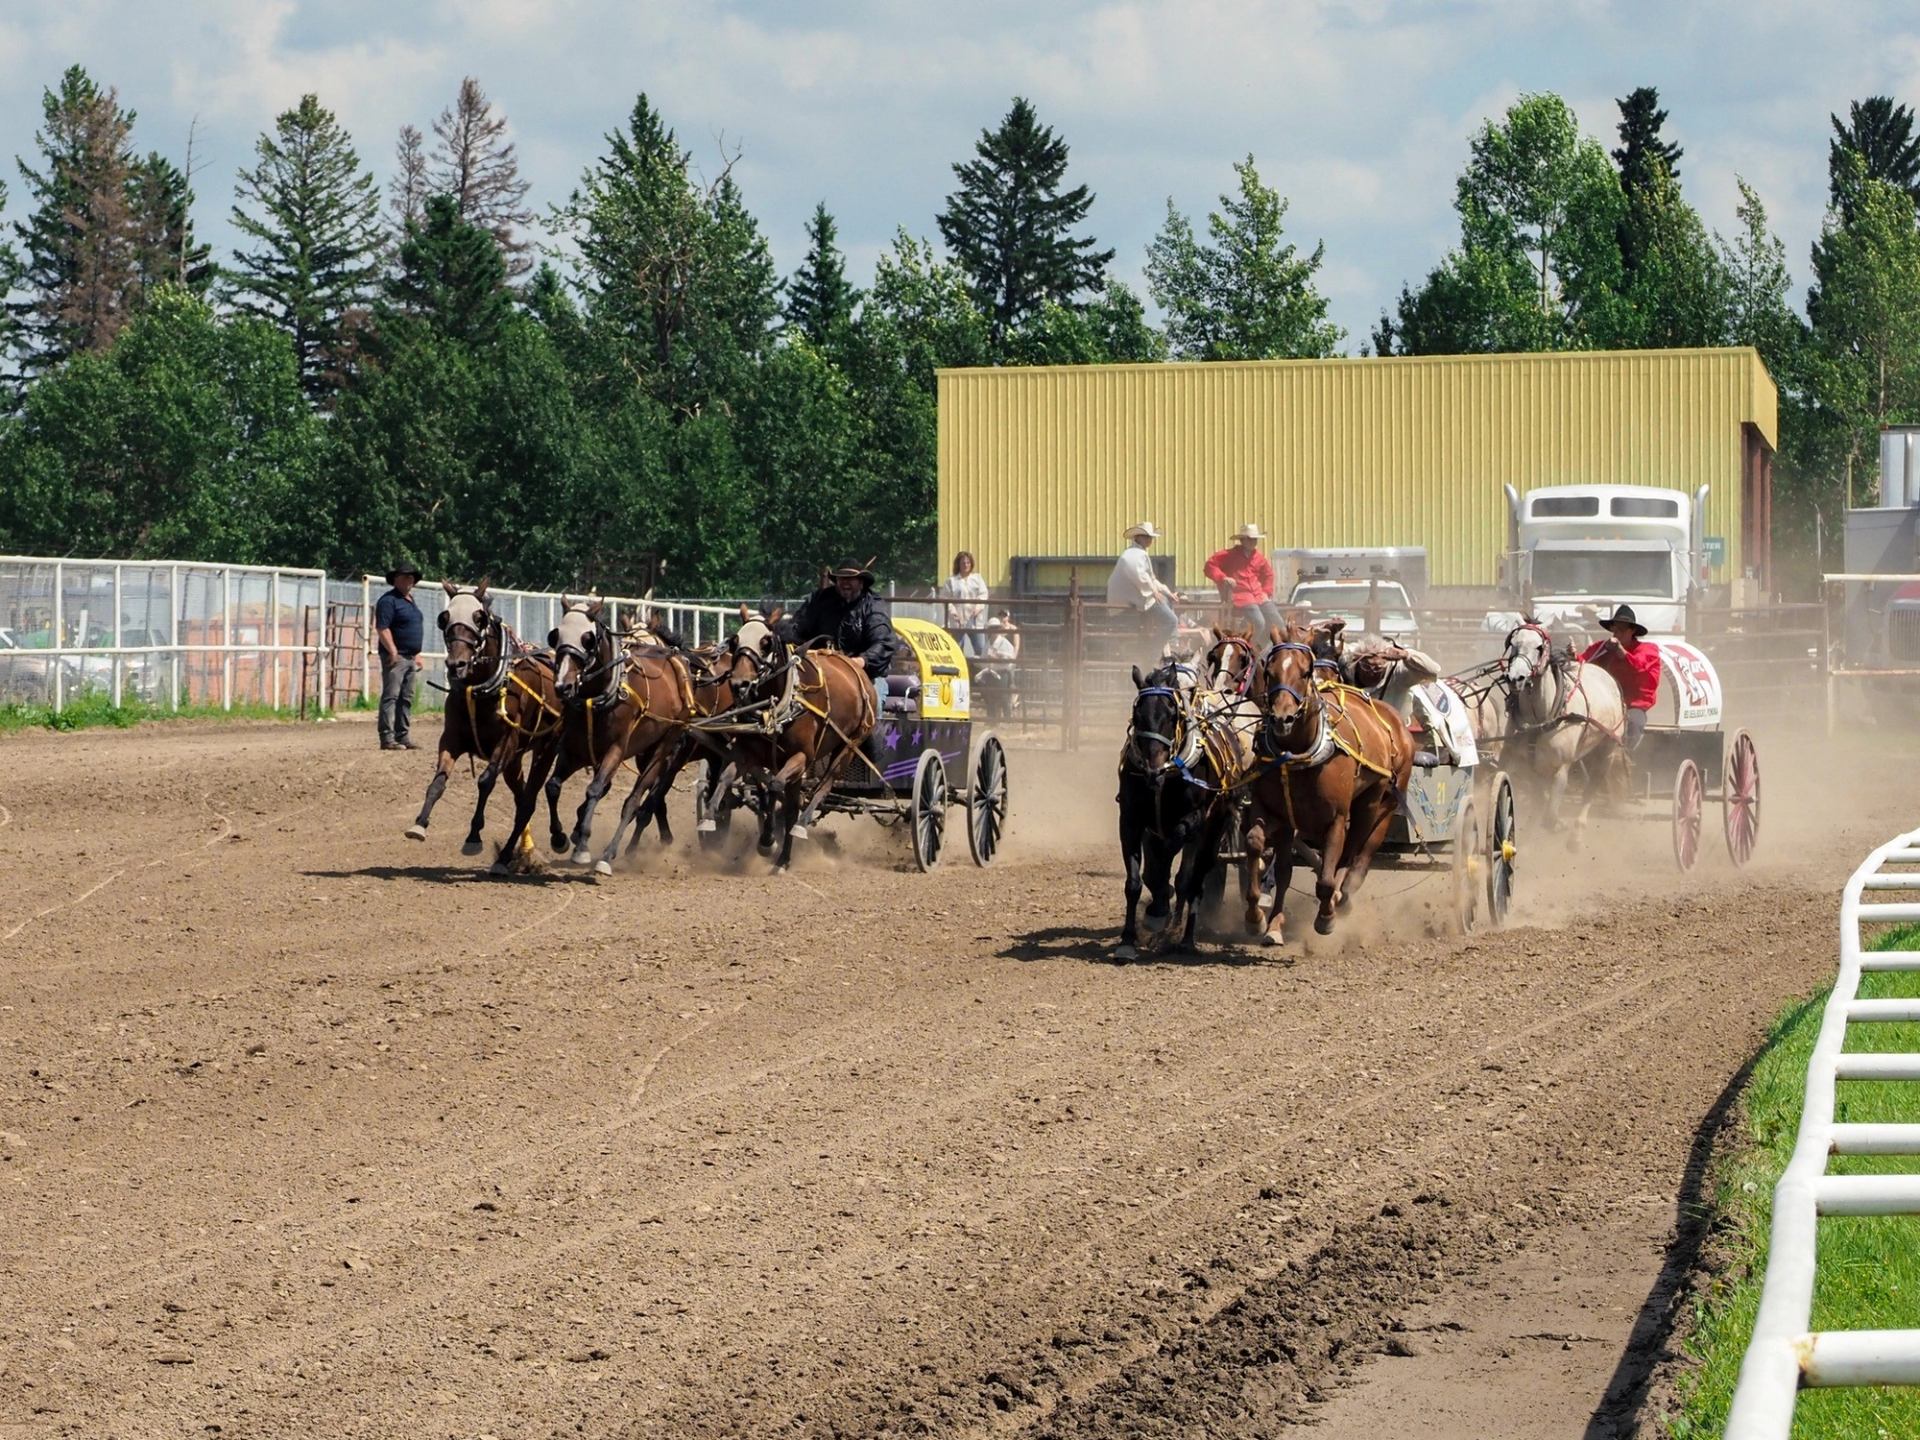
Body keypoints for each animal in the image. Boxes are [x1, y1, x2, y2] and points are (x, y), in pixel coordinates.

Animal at [1115, 657, 1246, 960]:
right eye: (1137, 714)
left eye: (1172, 713)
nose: (1153, 770)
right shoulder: (1130, 820)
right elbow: (1135, 882)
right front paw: (1128, 939)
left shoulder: (1194, 819)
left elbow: (1172, 855)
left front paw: (1159, 908)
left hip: (1214, 829)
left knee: (1196, 880)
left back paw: (1184, 938)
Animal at [1240, 623, 1414, 946]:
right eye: (1269, 671)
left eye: (1305, 671)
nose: (1282, 718)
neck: (1300, 754)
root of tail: (1394, 722)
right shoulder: (1275, 812)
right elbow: (1260, 847)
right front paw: (1259, 919)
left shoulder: (1335, 819)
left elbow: (1326, 877)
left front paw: (1326, 917)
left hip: (1379, 802)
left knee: (1357, 854)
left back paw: (1340, 899)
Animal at [1499, 619, 1627, 830]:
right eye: (1512, 643)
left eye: (1539, 647)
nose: (1515, 678)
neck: (1539, 720)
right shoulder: (1528, 767)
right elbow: (1538, 803)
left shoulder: (1560, 769)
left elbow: (1549, 817)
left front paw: (1558, 824)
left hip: (1606, 750)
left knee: (1591, 788)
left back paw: (1578, 829)